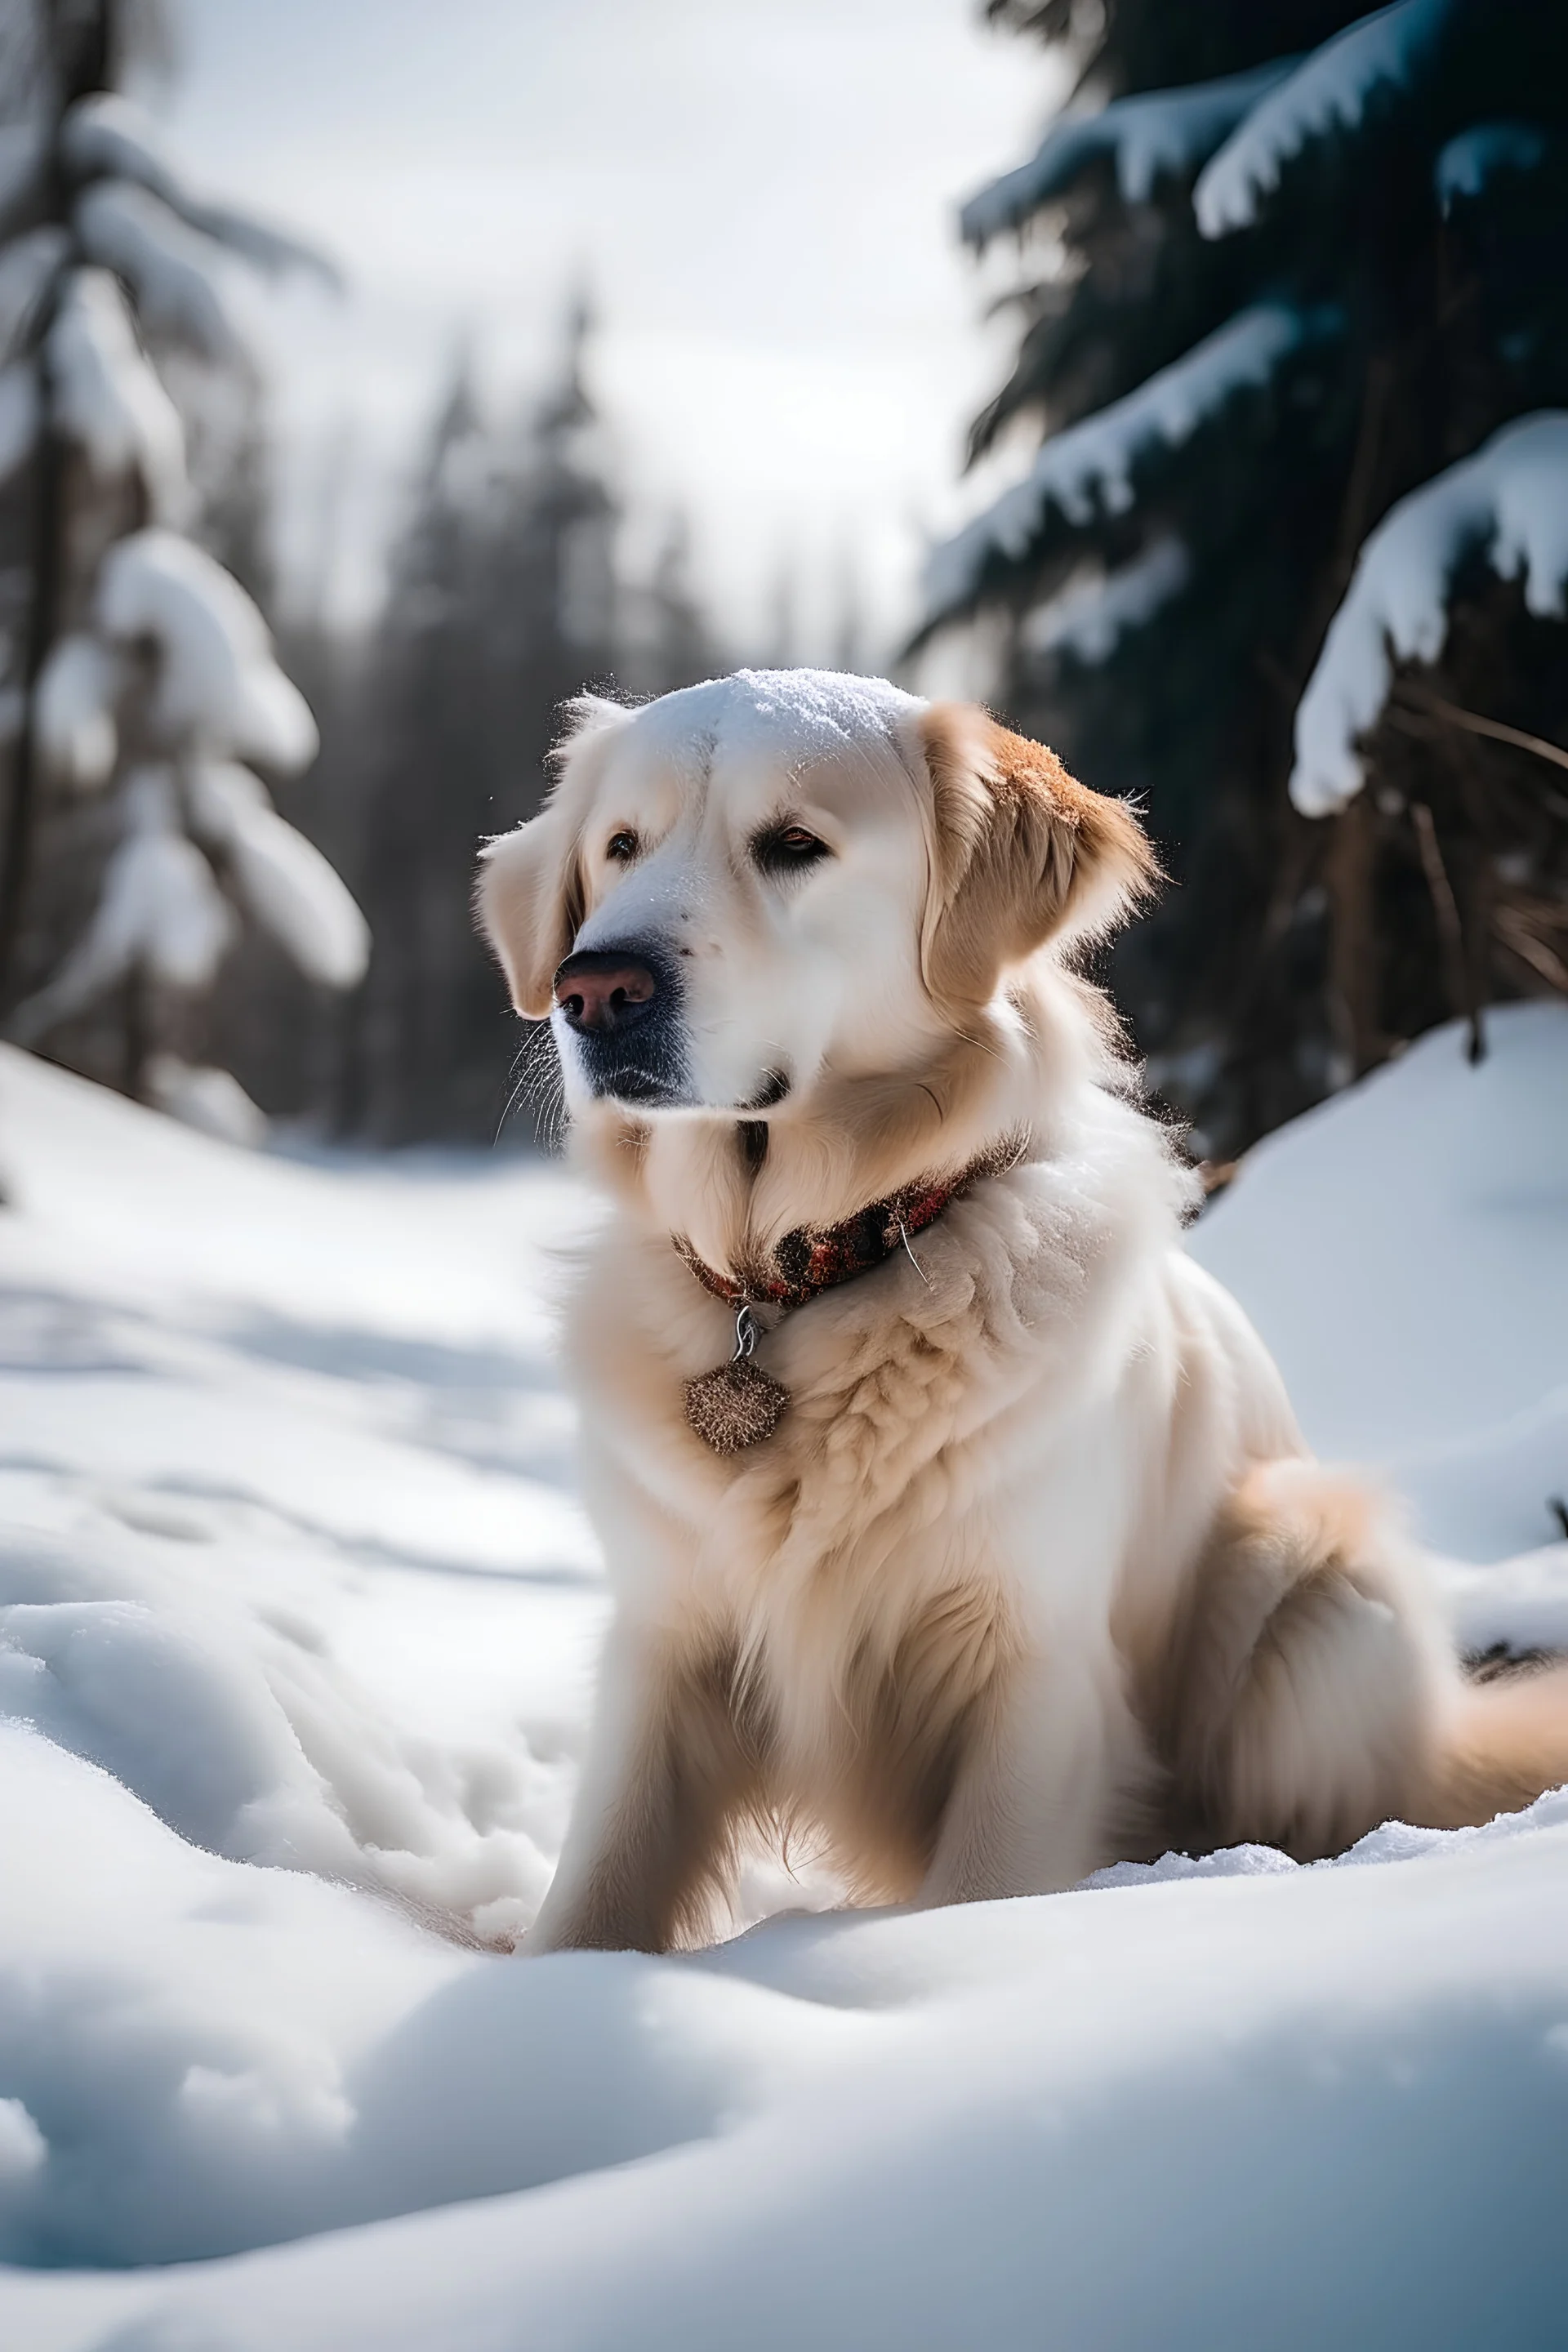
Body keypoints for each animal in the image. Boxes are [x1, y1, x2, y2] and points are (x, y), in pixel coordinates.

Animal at [479, 672, 1568, 1957]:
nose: (597, 989)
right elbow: (597, 1889)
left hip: (1308, 1575)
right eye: (620, 847)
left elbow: (982, 1891)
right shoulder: (667, 1641)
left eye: (794, 845)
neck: (805, 1275)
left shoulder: (1033, 1672)